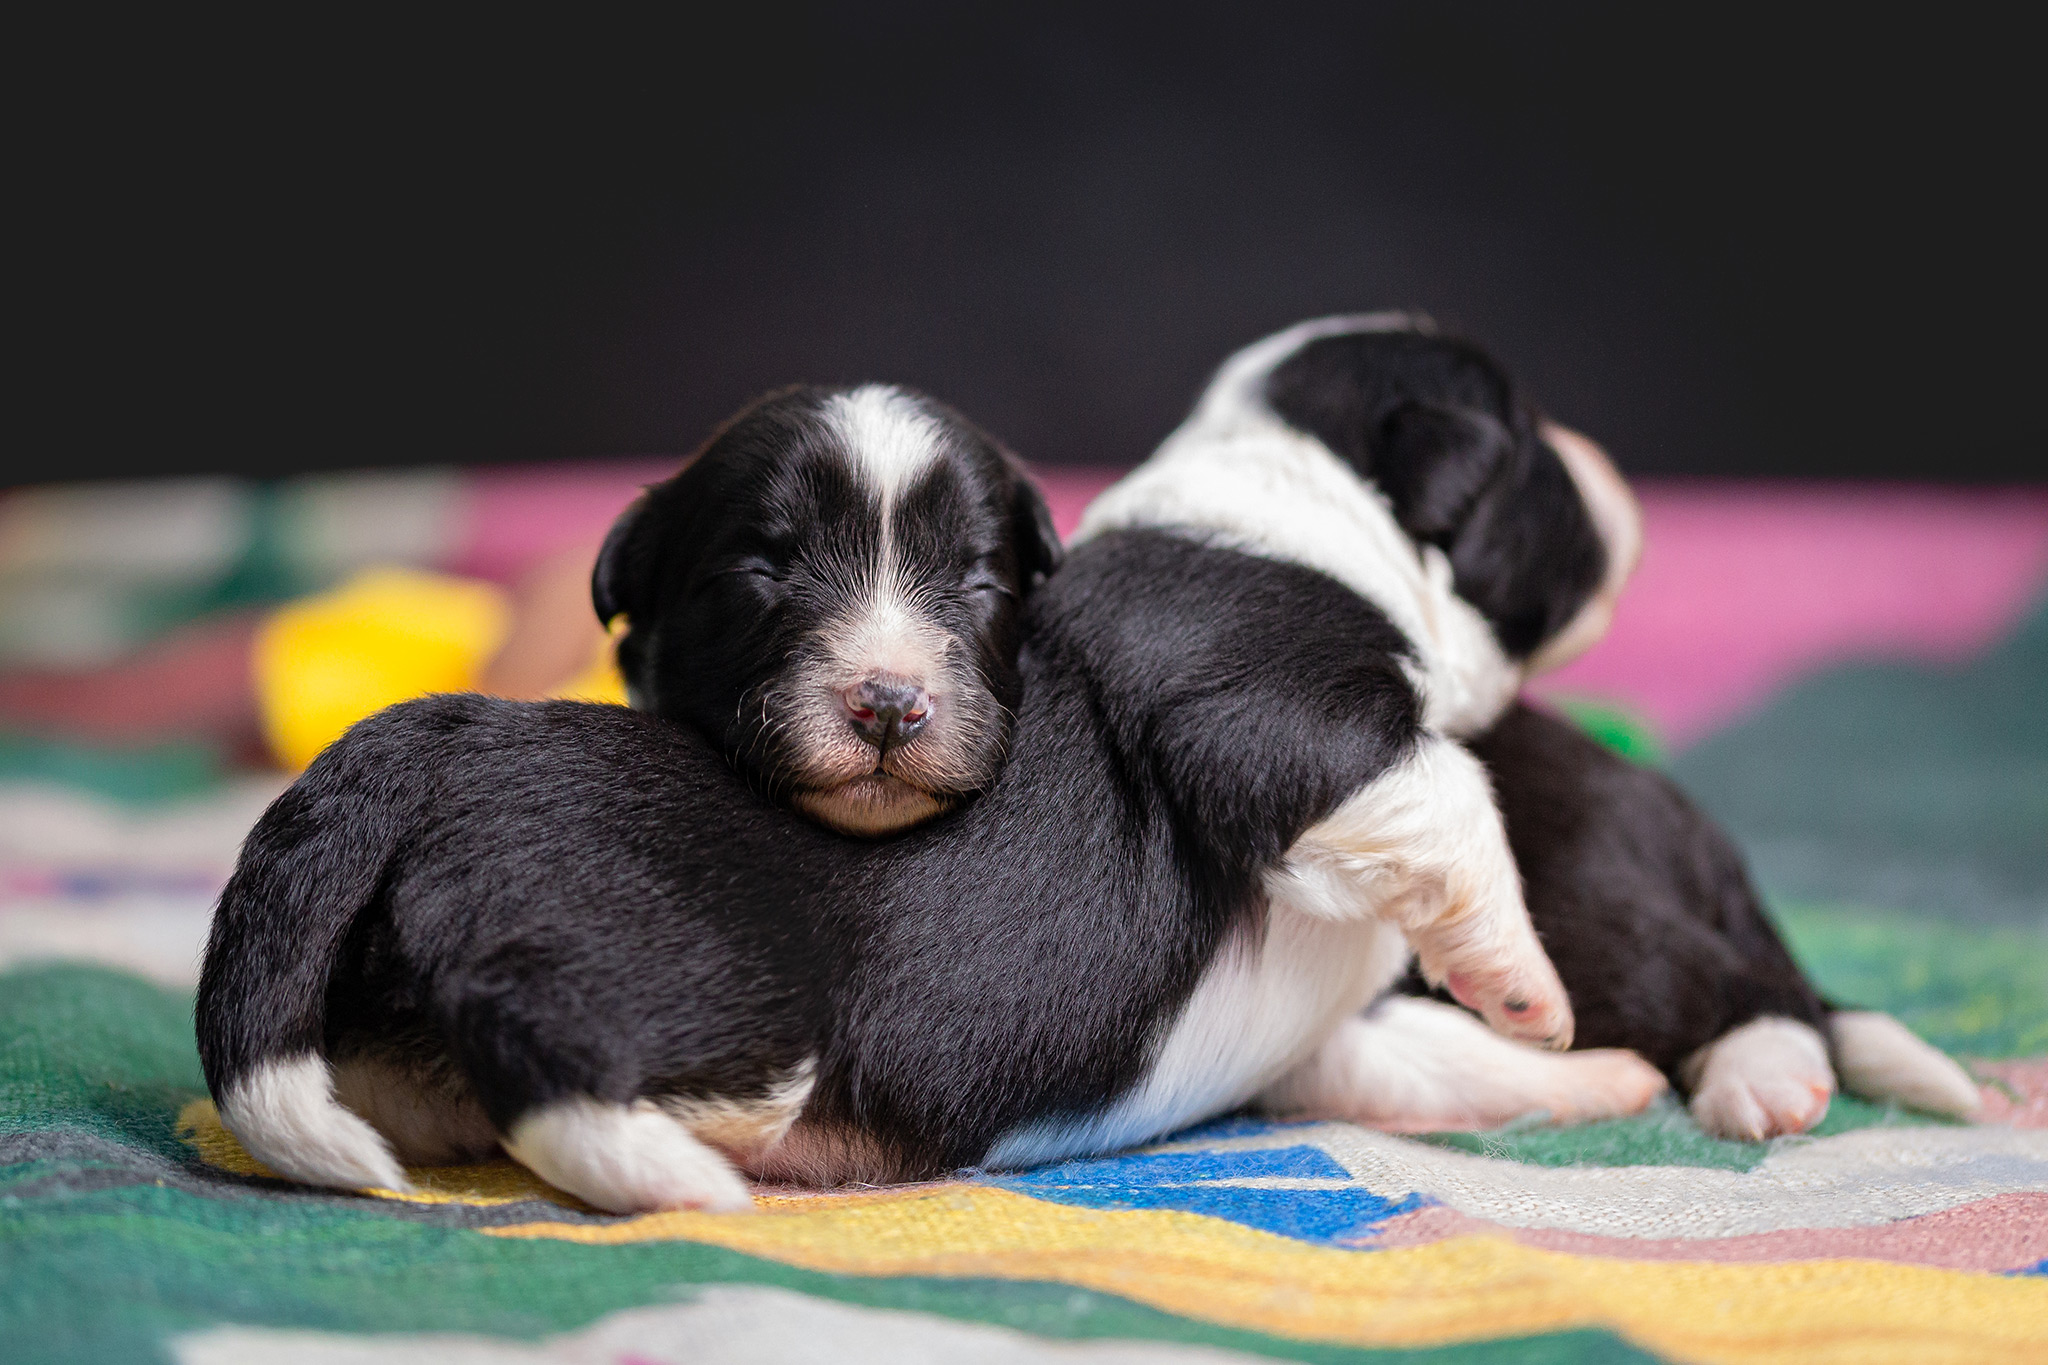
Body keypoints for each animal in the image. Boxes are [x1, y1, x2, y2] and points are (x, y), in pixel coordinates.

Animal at [203, 356, 1662, 1219]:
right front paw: (1529, 987)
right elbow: (1448, 799)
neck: (1292, 502)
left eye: (977, 582)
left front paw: (1594, 1075)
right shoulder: (1270, 707)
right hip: (696, 974)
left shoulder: (1314, 1040)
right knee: (537, 1037)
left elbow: (1418, 1059)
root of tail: (418, 740)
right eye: (1536, 443)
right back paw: (672, 1174)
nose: (1615, 471)